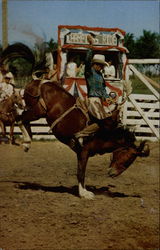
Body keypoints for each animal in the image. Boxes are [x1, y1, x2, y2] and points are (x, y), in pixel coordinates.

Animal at [17, 80, 150, 199]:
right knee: (20, 119)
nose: (113, 173)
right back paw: (27, 142)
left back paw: (27, 142)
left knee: (23, 119)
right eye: (128, 159)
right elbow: (81, 172)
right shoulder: (83, 151)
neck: (104, 133)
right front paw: (84, 193)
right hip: (38, 111)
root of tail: (38, 82)